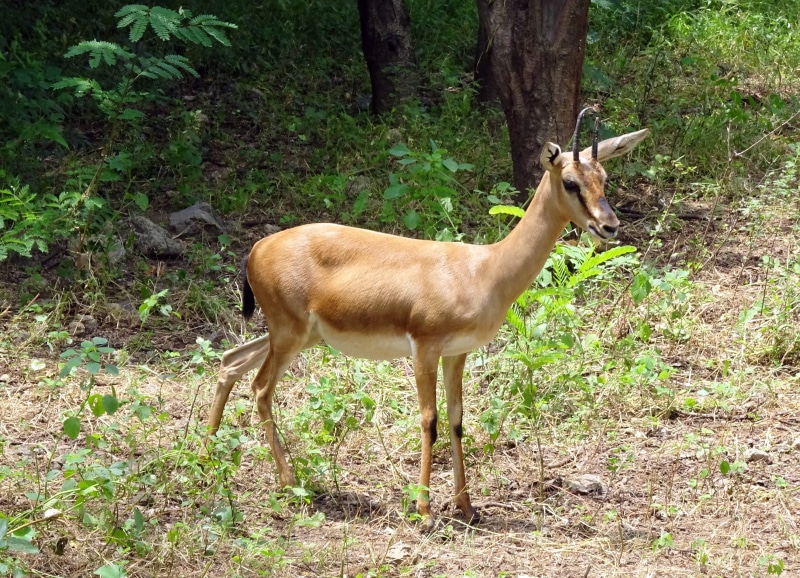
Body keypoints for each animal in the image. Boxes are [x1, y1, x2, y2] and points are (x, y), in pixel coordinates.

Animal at [206, 109, 648, 530]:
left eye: (604, 177)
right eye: (571, 182)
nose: (609, 226)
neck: (483, 270)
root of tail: (257, 248)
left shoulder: (457, 353)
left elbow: (456, 420)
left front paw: (467, 507)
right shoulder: (425, 348)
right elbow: (429, 420)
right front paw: (424, 511)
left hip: (298, 336)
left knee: (229, 361)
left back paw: (208, 454)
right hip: (290, 335)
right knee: (260, 387)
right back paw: (289, 482)